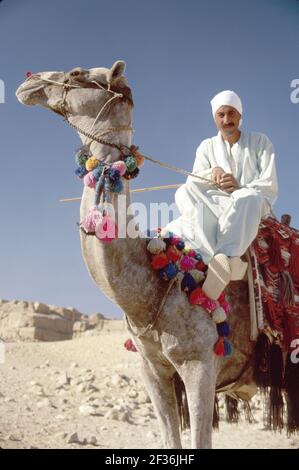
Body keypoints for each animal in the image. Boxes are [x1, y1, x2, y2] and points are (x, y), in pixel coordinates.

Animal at [15, 61, 255, 448]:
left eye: (78, 73)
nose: (29, 81)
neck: (157, 283)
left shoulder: (201, 363)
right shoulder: (152, 369)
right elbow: (170, 439)